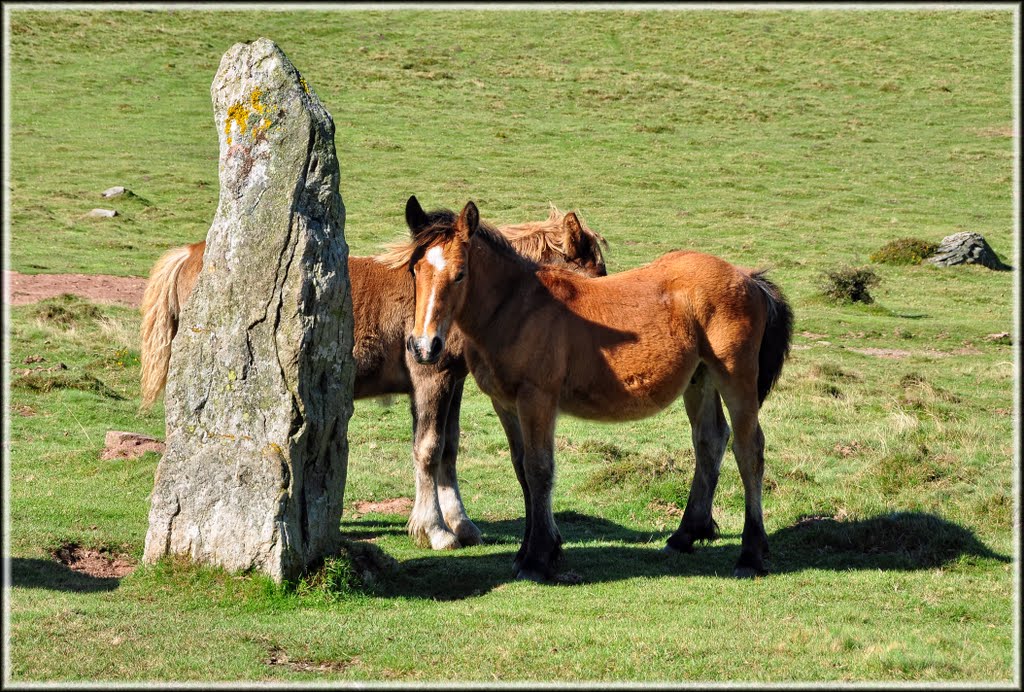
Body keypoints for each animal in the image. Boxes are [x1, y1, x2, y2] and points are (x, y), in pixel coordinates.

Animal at [139, 199, 602, 552]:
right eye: (597, 277)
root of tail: (188, 254)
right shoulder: (429, 376)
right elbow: (428, 449)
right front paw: (435, 530)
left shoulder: (451, 380)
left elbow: (449, 449)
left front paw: (461, 524)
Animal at [391, 198, 790, 577]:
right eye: (414, 270)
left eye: (460, 274)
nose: (424, 347)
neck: (517, 308)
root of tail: (749, 278)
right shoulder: (506, 404)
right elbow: (522, 469)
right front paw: (532, 551)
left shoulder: (537, 399)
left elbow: (539, 469)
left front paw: (537, 559)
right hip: (701, 379)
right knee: (710, 440)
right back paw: (685, 535)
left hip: (736, 377)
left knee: (749, 451)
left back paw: (751, 554)